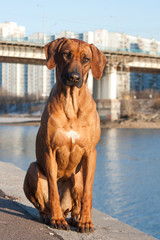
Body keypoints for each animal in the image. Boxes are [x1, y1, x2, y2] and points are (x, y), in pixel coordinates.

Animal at [23, 37, 106, 232]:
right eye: (66, 54)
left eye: (86, 59)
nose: (74, 77)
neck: (71, 103)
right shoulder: (50, 150)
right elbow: (53, 190)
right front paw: (57, 220)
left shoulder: (91, 152)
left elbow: (88, 193)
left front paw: (86, 221)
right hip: (32, 169)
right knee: (43, 205)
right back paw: (50, 216)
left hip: (78, 177)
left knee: (76, 203)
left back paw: (76, 218)